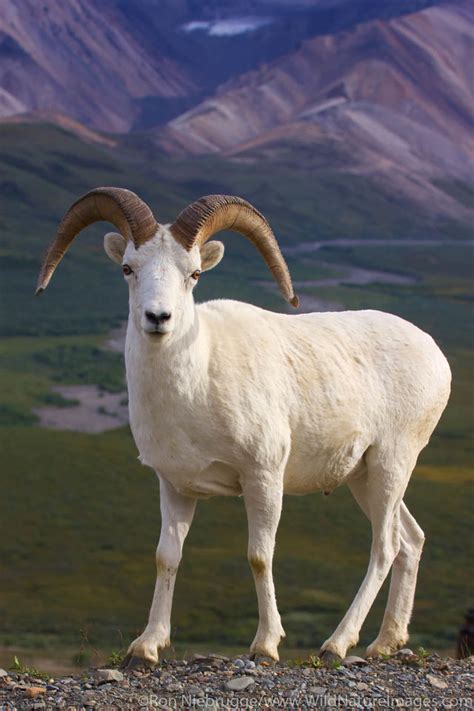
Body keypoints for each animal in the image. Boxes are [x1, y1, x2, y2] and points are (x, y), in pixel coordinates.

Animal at [37, 188, 452, 668]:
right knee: (411, 540)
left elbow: (259, 556)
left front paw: (266, 645)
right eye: (128, 268)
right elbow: (167, 557)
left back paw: (336, 644)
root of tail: (434, 354)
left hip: (391, 464)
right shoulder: (174, 487)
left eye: (194, 273)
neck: (197, 383)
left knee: (385, 548)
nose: (158, 318)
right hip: (363, 478)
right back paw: (386, 643)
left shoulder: (263, 478)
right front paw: (147, 647)